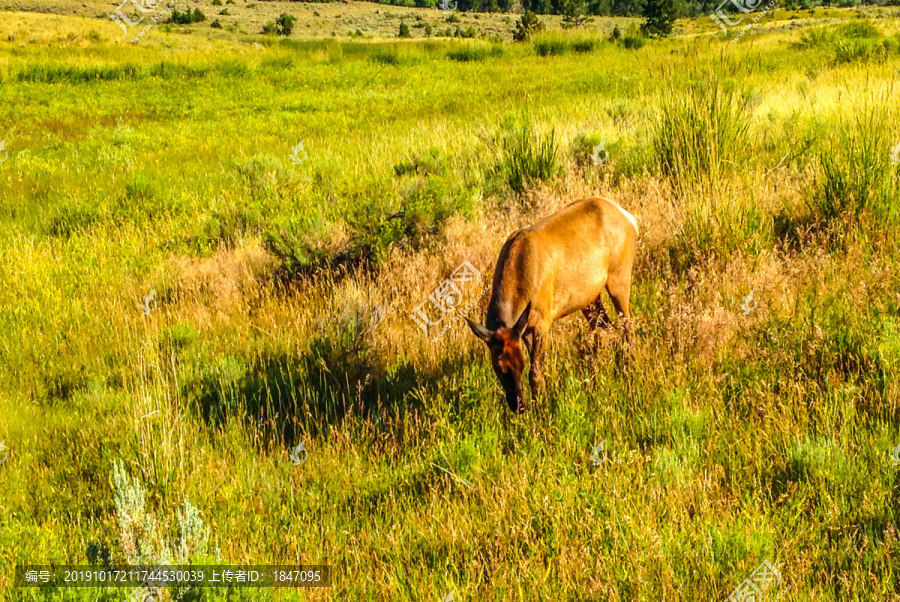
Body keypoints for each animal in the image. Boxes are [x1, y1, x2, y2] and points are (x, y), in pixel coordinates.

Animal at [464, 197, 640, 412]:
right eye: (498, 367)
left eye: (520, 364)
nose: (519, 406)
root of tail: (630, 219)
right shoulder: (524, 328)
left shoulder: (543, 321)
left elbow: (536, 373)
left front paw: (542, 411)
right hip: (590, 298)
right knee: (605, 329)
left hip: (619, 278)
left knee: (627, 325)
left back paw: (630, 370)